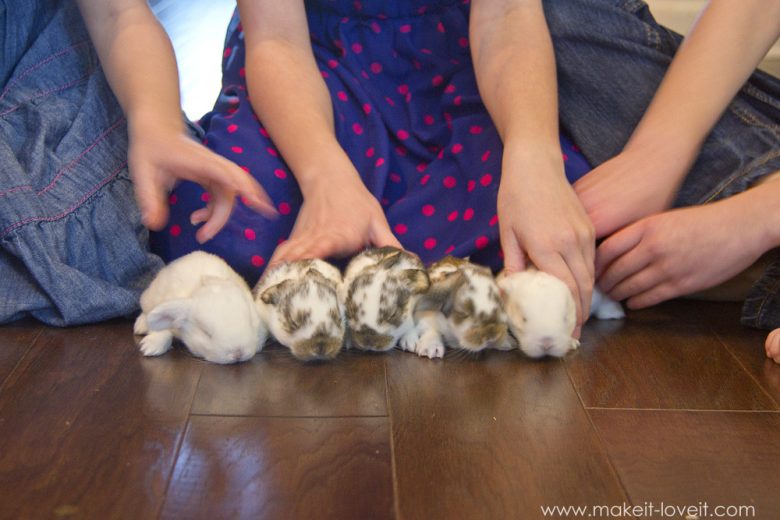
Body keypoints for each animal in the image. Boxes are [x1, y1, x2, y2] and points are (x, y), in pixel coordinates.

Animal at [134, 251, 267, 364]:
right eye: (206, 333)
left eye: (251, 323)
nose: (238, 353)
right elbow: (163, 330)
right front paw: (150, 347)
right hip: (148, 298)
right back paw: (140, 326)